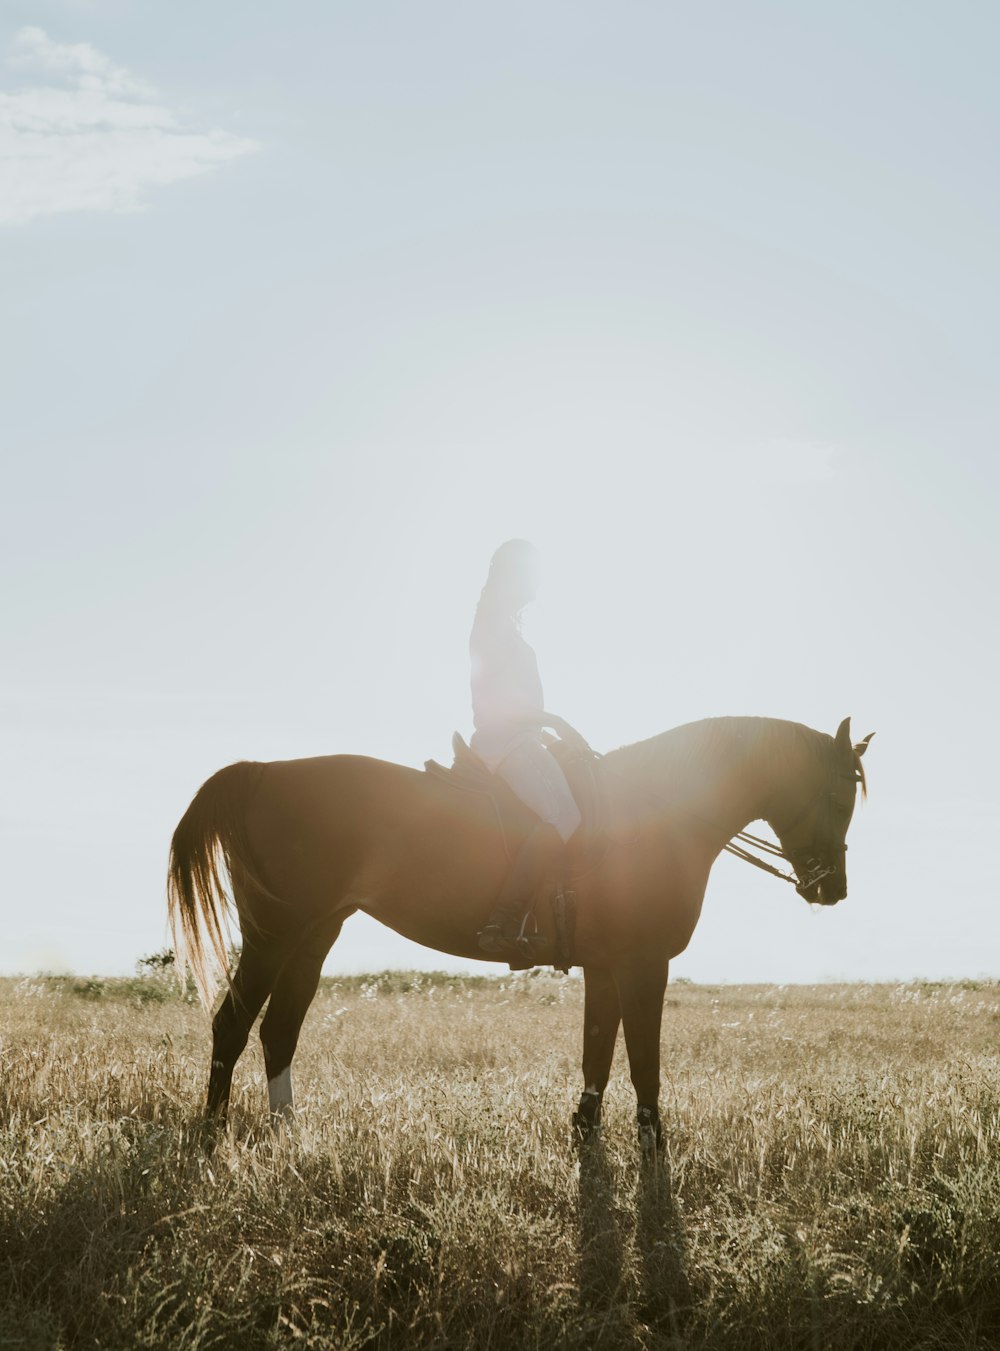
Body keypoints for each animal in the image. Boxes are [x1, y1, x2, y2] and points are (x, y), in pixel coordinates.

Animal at [164, 713, 864, 1145]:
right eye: (837, 796)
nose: (831, 889)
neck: (654, 812)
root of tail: (263, 770)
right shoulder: (643, 964)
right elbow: (644, 1061)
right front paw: (652, 1146)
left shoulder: (606, 965)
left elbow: (597, 1051)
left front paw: (586, 1132)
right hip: (274, 934)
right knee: (232, 1024)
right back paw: (213, 1131)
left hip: (313, 936)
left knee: (279, 1029)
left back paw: (287, 1132)